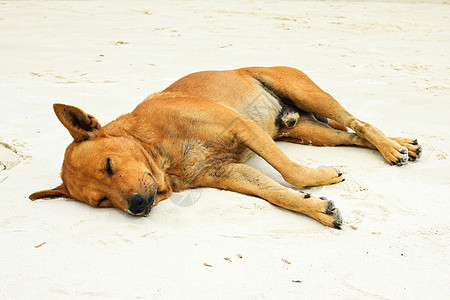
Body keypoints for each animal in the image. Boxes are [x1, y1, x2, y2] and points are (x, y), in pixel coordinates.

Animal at [29, 67, 422, 229]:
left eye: (109, 165)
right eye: (101, 201)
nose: (138, 206)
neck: (160, 151)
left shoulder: (241, 127)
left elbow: (292, 173)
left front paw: (319, 177)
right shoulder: (230, 172)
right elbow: (277, 193)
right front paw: (317, 208)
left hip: (307, 94)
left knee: (359, 122)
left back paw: (391, 149)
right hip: (310, 133)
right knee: (352, 134)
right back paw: (402, 144)